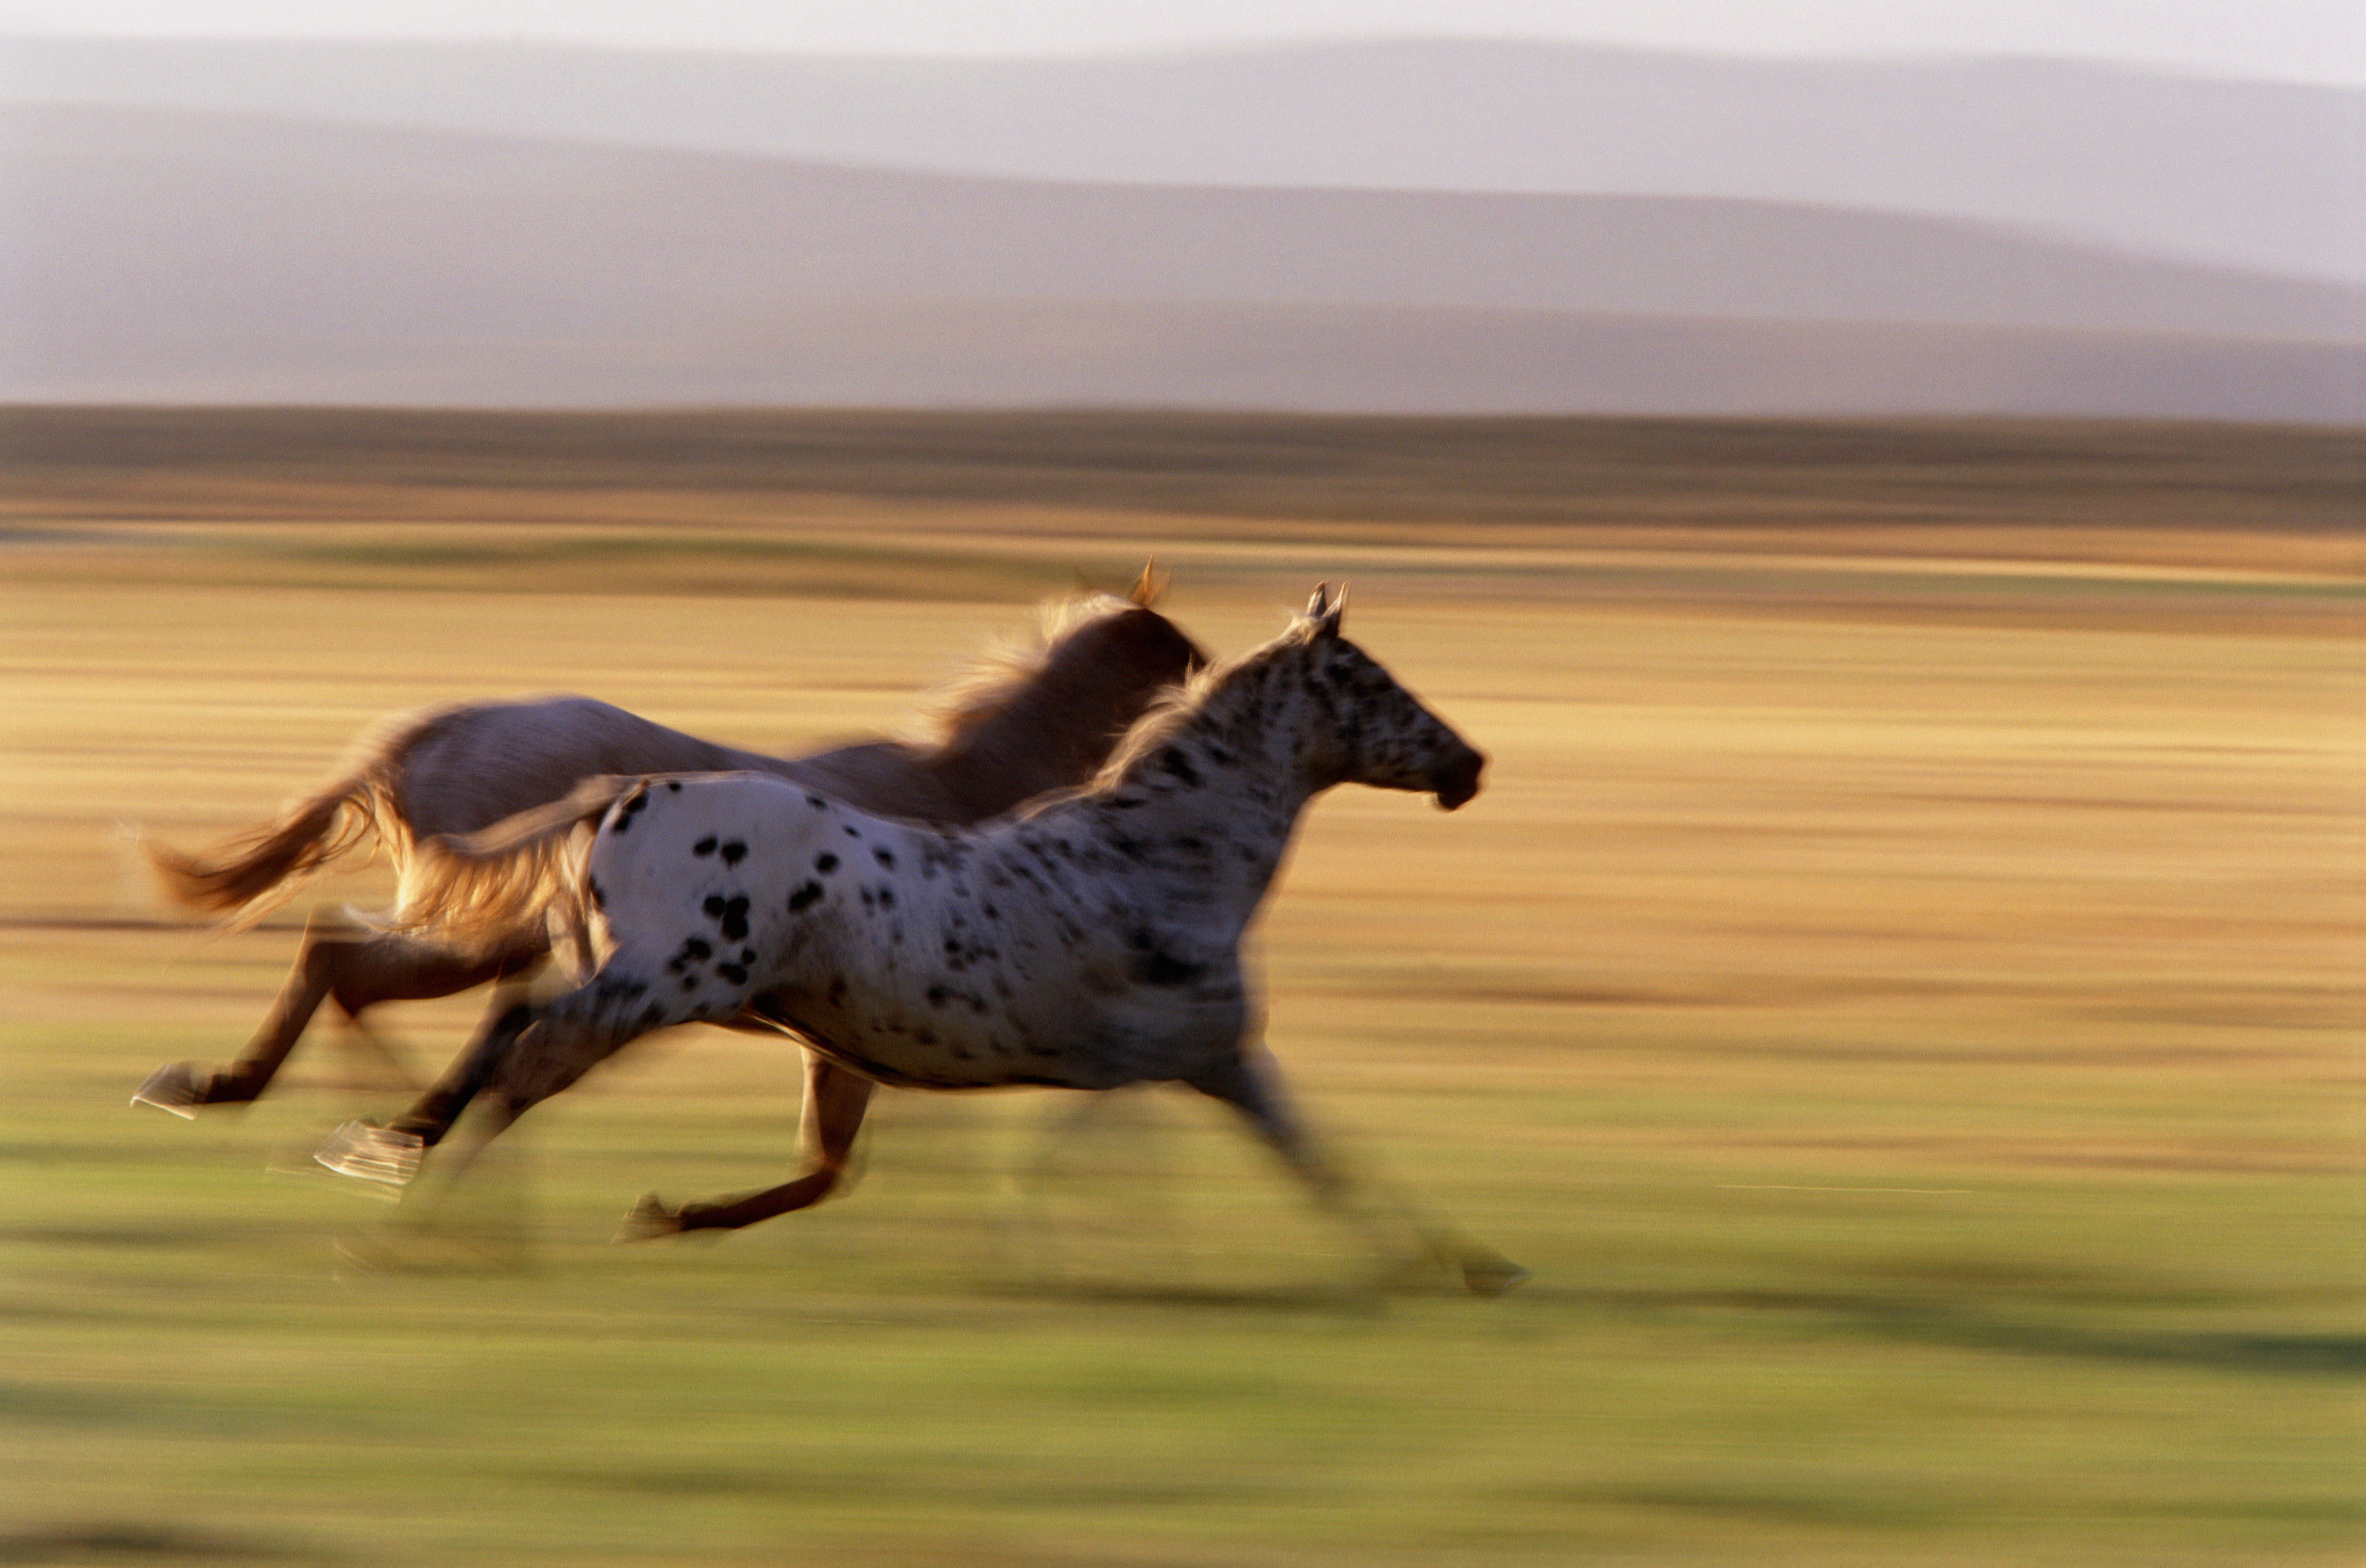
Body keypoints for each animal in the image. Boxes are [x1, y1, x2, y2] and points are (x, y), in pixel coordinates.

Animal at [133, 574, 1207, 1122]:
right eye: (1185, 654)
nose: (1214, 683)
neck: (965, 781)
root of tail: (422, 735)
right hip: (485, 926)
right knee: (345, 963)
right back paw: (368, 1105)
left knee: (342, 961)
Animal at [318, 587, 1526, 1295]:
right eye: (1373, 681)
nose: (1470, 764)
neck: (1163, 862)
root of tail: (613, 793)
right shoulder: (1142, 1066)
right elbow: (1071, 1166)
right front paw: (1051, 1256)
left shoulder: (1218, 1064)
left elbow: (1325, 1164)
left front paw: (1463, 1264)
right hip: (655, 991)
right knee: (519, 1064)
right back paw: (409, 1218)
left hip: (641, 984)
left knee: (500, 1040)